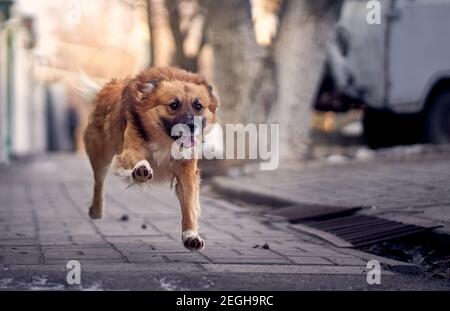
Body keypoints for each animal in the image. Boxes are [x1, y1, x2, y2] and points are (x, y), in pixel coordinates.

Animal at [84, 67, 220, 251]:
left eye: (198, 106)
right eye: (174, 105)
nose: (192, 126)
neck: (164, 141)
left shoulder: (187, 169)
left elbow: (189, 204)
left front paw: (191, 235)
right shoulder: (130, 148)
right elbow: (136, 158)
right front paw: (141, 169)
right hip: (100, 154)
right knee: (98, 181)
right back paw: (96, 210)